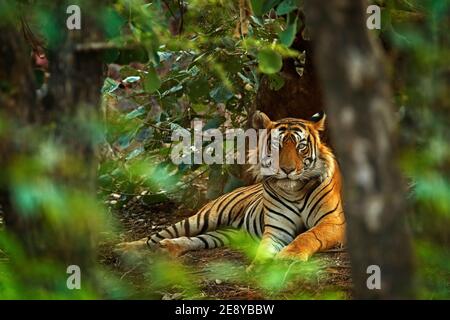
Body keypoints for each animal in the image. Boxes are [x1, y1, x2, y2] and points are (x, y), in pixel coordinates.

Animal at [116, 111, 344, 264]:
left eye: (301, 147)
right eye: (276, 146)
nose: (287, 170)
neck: (295, 190)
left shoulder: (333, 222)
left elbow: (307, 236)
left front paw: (289, 257)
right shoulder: (277, 228)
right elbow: (265, 248)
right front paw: (259, 267)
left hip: (226, 234)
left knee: (196, 240)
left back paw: (168, 248)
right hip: (203, 218)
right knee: (155, 236)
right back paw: (125, 248)